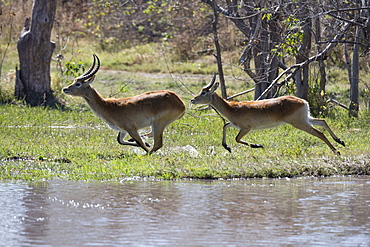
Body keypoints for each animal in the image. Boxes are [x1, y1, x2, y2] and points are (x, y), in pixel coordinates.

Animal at [192, 74, 346, 154]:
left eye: (204, 92)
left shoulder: (246, 128)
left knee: (320, 133)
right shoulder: (236, 125)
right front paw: (227, 147)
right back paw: (340, 141)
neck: (232, 108)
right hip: (305, 119)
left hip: (299, 123)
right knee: (322, 121)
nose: (192, 99)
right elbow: (225, 126)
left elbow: (236, 138)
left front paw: (257, 145)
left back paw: (336, 151)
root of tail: (302, 101)